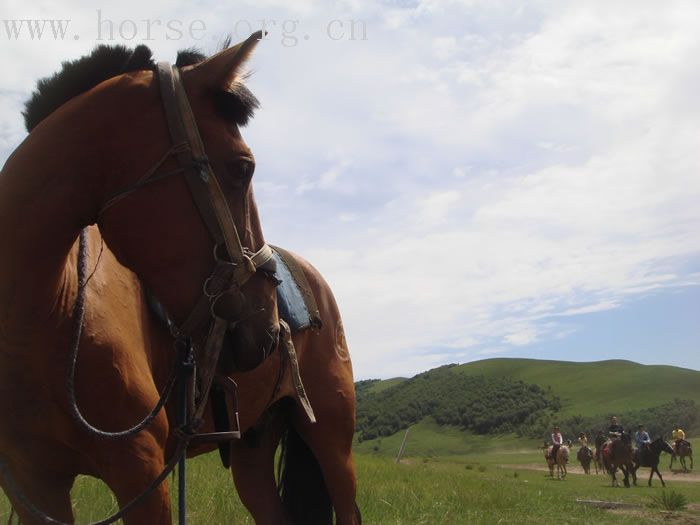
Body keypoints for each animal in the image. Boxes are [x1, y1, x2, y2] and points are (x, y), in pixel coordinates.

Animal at [0, 34, 358, 520]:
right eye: (243, 167)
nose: (269, 327)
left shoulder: (139, 469)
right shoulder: (34, 485)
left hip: (333, 442)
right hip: (253, 451)